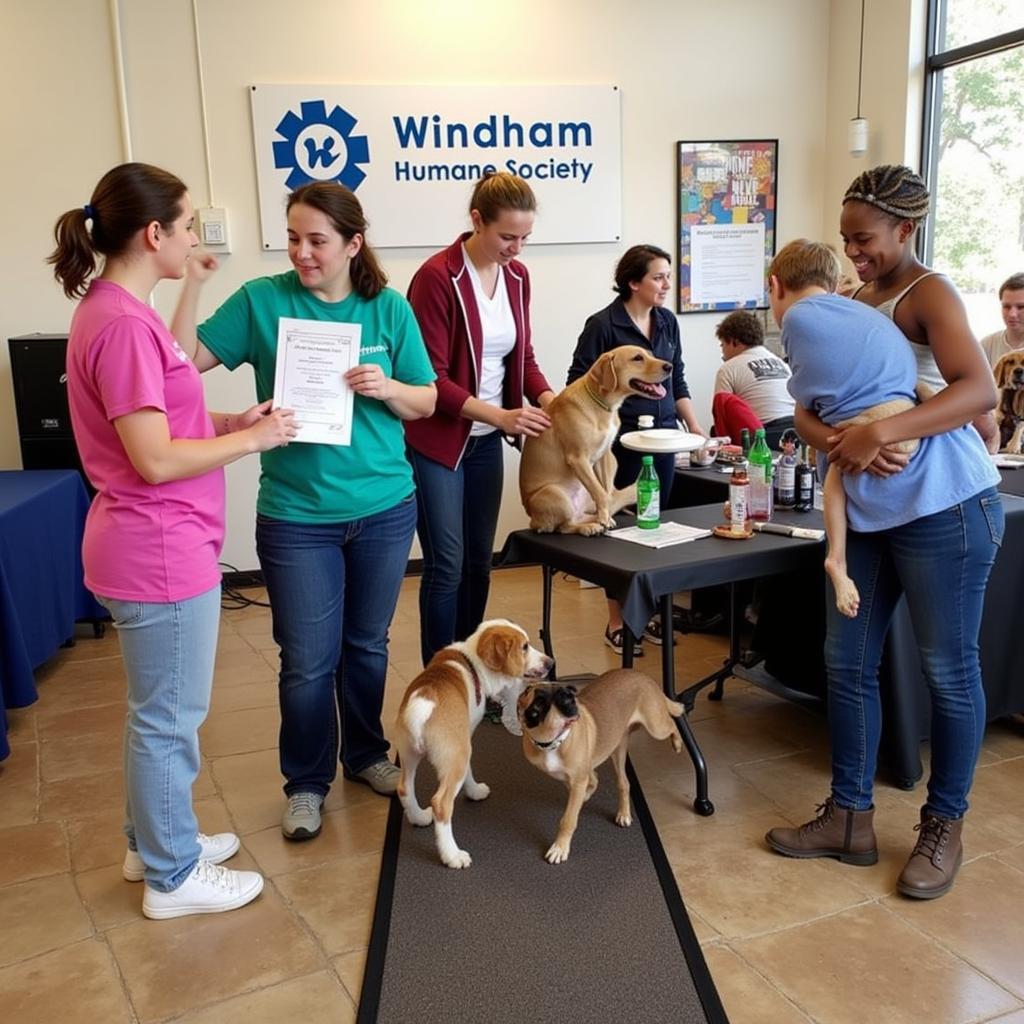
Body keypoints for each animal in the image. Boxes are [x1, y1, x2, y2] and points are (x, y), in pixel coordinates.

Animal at [391, 618, 552, 868]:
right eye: (524, 647)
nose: (550, 662)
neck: (472, 664)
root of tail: (423, 704)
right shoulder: (465, 742)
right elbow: (469, 772)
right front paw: (475, 792)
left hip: (409, 755)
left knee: (404, 788)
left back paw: (418, 817)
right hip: (456, 757)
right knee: (441, 804)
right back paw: (452, 855)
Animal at [520, 344, 671, 536]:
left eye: (649, 355)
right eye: (637, 358)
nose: (670, 366)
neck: (603, 406)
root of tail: (533, 520)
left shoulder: (604, 456)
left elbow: (605, 492)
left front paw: (606, 518)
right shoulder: (578, 458)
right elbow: (601, 493)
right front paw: (604, 519)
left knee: (584, 514)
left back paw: (595, 522)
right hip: (554, 493)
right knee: (564, 526)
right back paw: (589, 527)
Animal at [520, 671, 679, 864]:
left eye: (566, 697)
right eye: (531, 694)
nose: (569, 699)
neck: (551, 740)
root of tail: (642, 675)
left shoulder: (578, 779)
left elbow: (569, 819)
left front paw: (560, 847)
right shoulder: (574, 776)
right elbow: (592, 780)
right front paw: (586, 795)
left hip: (656, 726)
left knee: (672, 723)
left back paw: (678, 743)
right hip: (618, 748)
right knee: (624, 782)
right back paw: (624, 813)